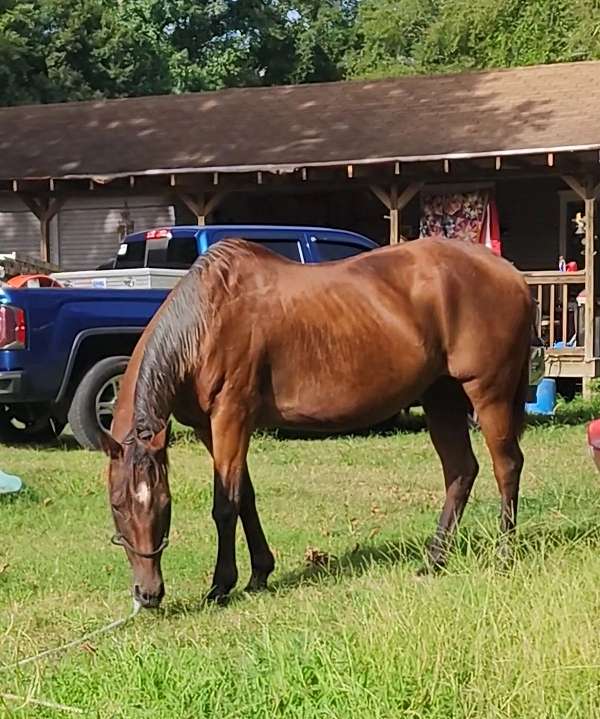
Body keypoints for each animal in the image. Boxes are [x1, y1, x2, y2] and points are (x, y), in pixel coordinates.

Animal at [102, 239, 536, 612]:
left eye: (164, 503)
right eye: (117, 505)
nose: (148, 594)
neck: (206, 320)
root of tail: (510, 273)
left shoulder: (231, 416)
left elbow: (225, 505)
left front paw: (221, 585)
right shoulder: (211, 429)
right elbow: (245, 497)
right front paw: (260, 573)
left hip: (489, 393)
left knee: (506, 467)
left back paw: (503, 555)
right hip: (441, 396)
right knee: (461, 471)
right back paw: (434, 559)